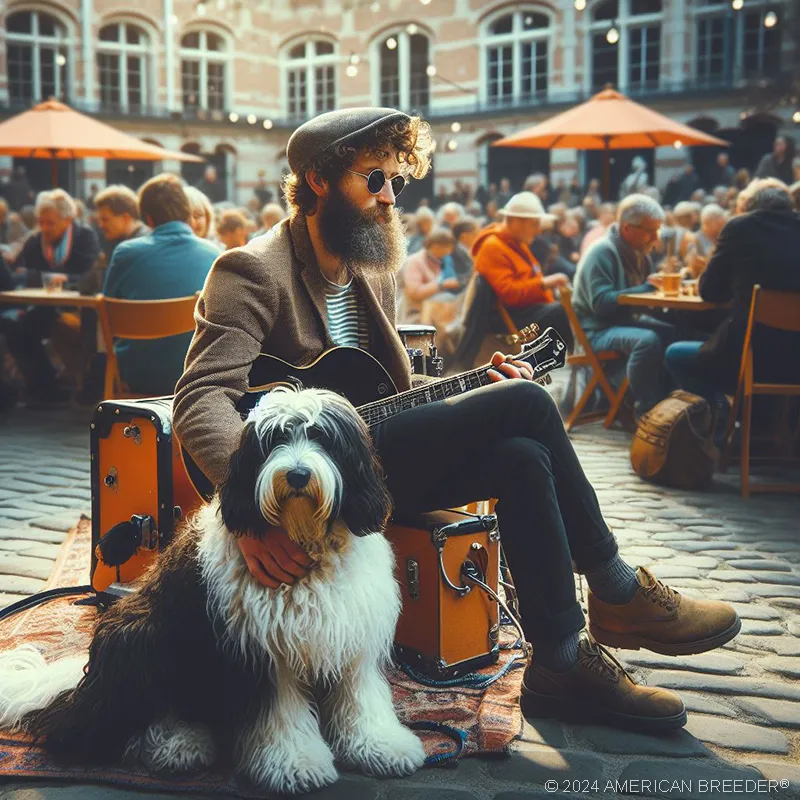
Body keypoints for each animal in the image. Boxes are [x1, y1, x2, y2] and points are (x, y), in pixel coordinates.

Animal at [0, 388, 424, 792]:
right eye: (274, 440)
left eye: (322, 437)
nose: (298, 475)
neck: (305, 542)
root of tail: (81, 690)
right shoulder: (261, 649)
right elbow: (280, 714)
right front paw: (294, 763)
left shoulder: (353, 636)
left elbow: (361, 700)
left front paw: (382, 746)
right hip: (141, 636)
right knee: (105, 730)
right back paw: (176, 743)